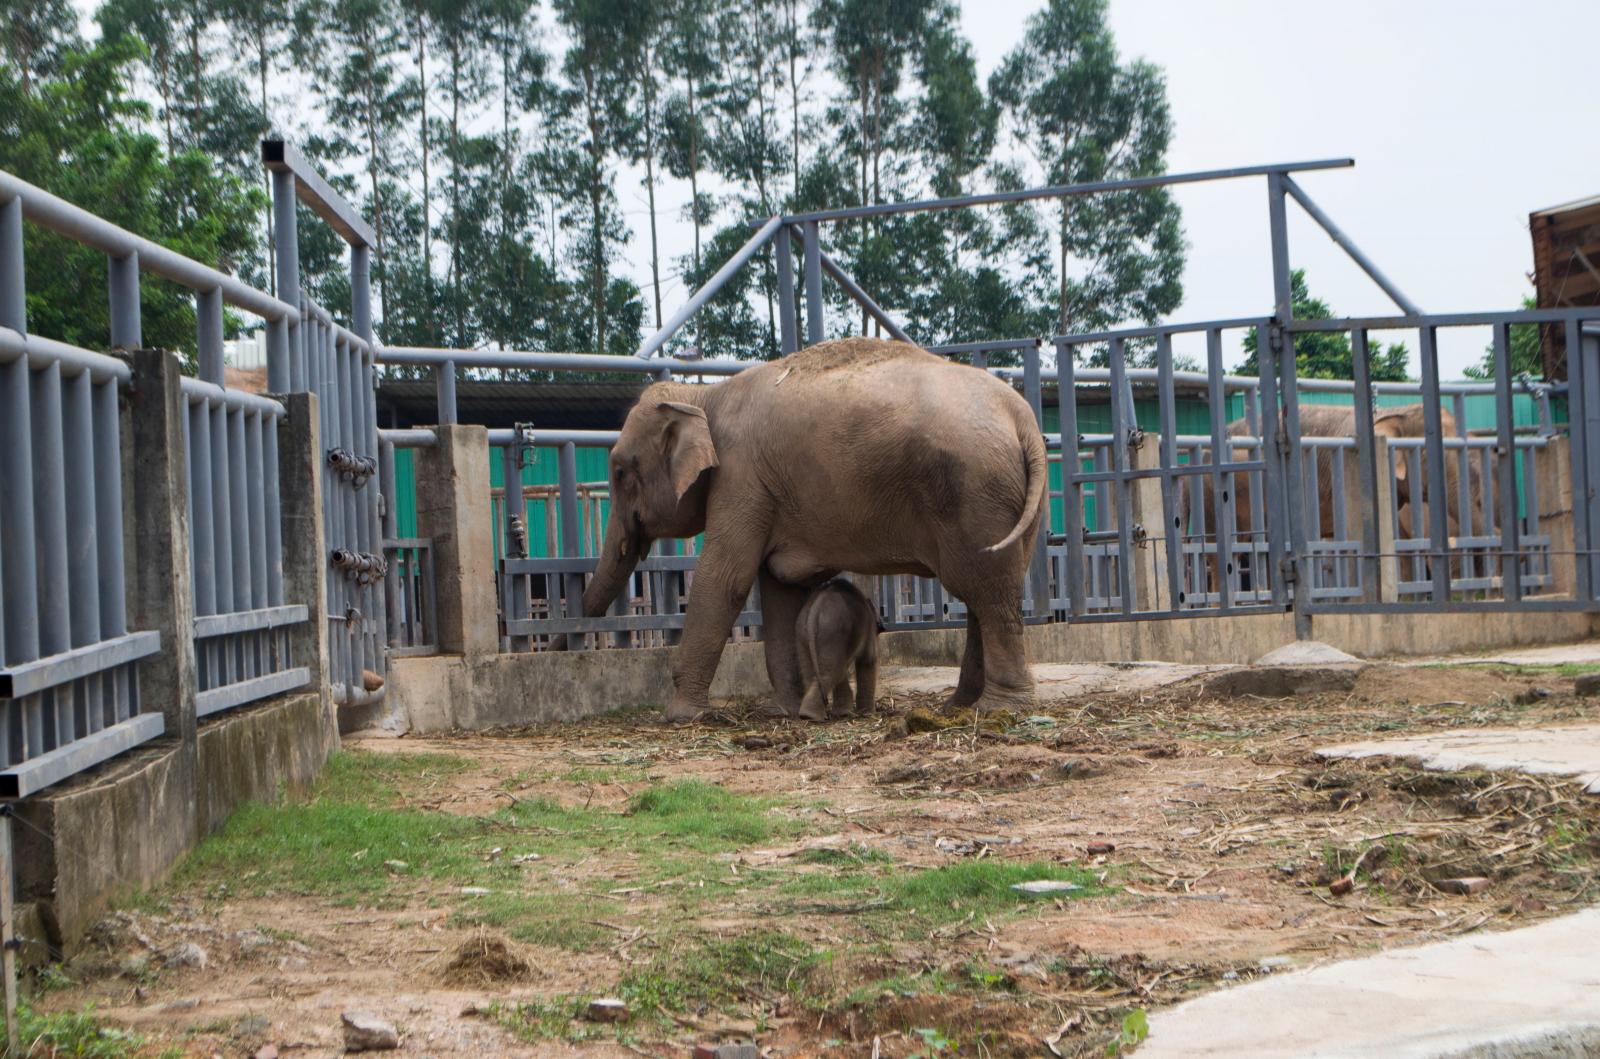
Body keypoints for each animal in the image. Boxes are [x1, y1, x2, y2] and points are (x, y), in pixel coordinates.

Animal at [800, 582, 889, 723]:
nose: (884, 626)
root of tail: (816, 606)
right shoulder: (869, 628)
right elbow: (868, 660)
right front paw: (867, 713)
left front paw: (845, 713)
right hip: (832, 633)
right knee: (831, 672)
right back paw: (811, 716)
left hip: (802, 632)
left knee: (811, 671)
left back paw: (811, 714)